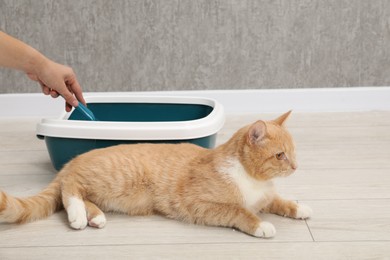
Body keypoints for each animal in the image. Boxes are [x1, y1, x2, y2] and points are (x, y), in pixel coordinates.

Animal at [0, 111, 310, 238]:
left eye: (294, 152)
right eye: (280, 155)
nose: (296, 166)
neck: (252, 180)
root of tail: (76, 158)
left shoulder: (266, 196)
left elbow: (279, 201)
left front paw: (299, 207)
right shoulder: (201, 204)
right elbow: (240, 211)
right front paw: (260, 225)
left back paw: (95, 217)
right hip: (110, 179)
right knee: (70, 187)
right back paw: (78, 216)